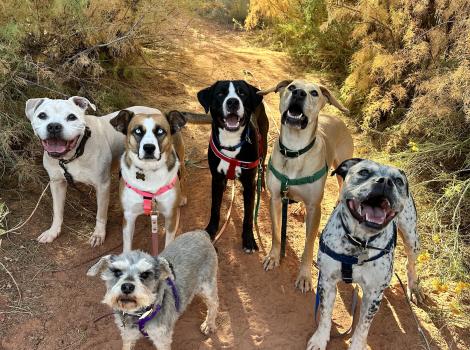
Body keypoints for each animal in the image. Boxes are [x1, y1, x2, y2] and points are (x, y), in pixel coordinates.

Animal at [25, 96, 156, 246]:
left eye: (71, 117)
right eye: (42, 115)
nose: (53, 126)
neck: (74, 155)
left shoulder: (102, 186)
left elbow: (101, 214)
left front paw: (98, 234)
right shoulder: (57, 183)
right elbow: (57, 211)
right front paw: (53, 231)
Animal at [110, 109, 187, 252]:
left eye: (160, 131)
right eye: (137, 131)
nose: (149, 147)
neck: (149, 170)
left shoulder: (171, 215)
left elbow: (169, 243)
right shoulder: (129, 216)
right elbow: (127, 245)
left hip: (182, 162)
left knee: (183, 177)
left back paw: (183, 196)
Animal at [196, 81, 268, 253]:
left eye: (242, 93)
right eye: (220, 94)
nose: (233, 102)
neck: (231, 143)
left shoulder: (249, 184)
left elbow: (248, 216)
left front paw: (248, 240)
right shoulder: (216, 179)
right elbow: (215, 209)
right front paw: (210, 231)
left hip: (264, 143)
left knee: (263, 166)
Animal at [258, 80, 354, 292]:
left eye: (314, 93)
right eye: (291, 87)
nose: (299, 93)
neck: (295, 150)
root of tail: (336, 118)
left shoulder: (315, 208)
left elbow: (309, 246)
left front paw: (304, 276)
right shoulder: (276, 198)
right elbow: (276, 233)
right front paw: (274, 256)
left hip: (342, 165)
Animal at [306, 159, 424, 350]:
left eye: (398, 181)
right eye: (364, 172)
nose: (385, 181)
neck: (359, 242)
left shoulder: (373, 295)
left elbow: (362, 327)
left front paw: (357, 345)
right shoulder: (327, 281)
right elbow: (324, 315)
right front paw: (319, 339)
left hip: (412, 239)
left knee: (410, 264)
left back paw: (413, 287)